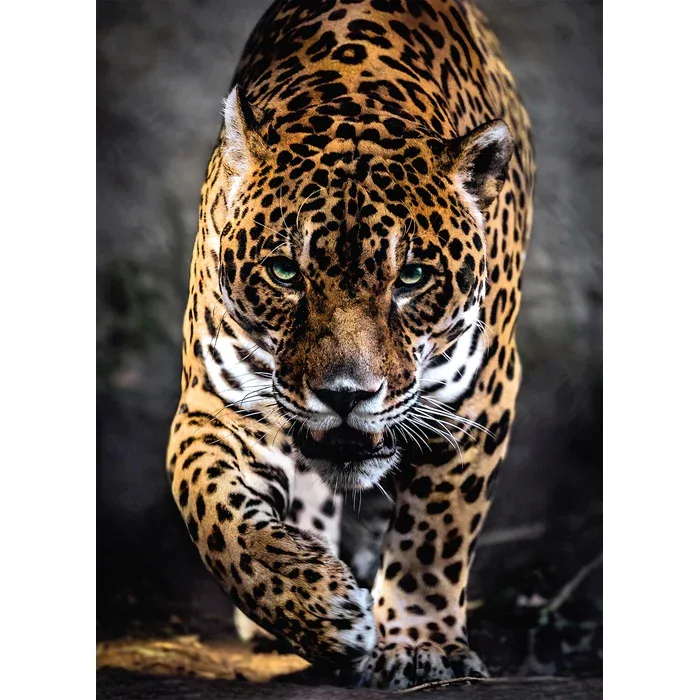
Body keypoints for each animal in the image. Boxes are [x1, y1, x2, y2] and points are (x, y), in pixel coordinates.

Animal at [166, 0, 534, 690]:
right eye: (285, 272)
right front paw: (317, 609)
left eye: (411, 277)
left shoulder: (477, 401)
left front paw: (420, 645)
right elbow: (215, 516)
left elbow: (434, 535)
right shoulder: (216, 405)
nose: (345, 395)